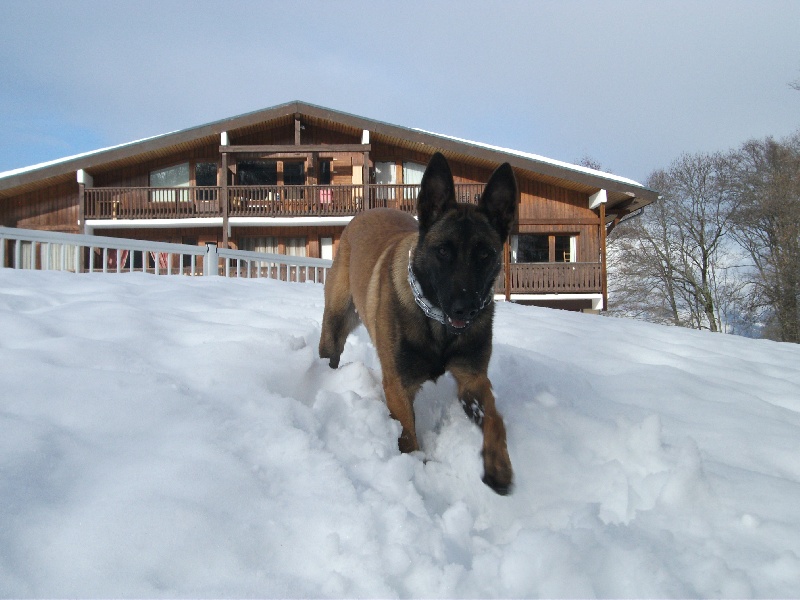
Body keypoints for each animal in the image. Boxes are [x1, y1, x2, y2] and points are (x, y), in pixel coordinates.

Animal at [318, 152, 520, 494]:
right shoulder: (398, 386)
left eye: (485, 254)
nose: (466, 310)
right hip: (335, 323)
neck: (437, 324)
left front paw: (498, 466)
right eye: (443, 251)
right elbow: (409, 438)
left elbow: (495, 418)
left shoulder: (472, 379)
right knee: (329, 353)